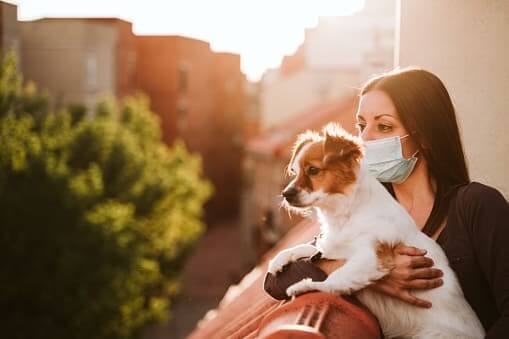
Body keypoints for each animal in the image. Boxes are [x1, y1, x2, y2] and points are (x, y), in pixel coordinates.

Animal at [266, 124, 484, 339]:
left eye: (313, 170)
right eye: (294, 172)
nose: (285, 194)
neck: (347, 213)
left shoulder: (371, 257)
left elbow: (334, 279)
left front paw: (305, 286)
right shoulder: (333, 247)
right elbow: (308, 248)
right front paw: (279, 259)